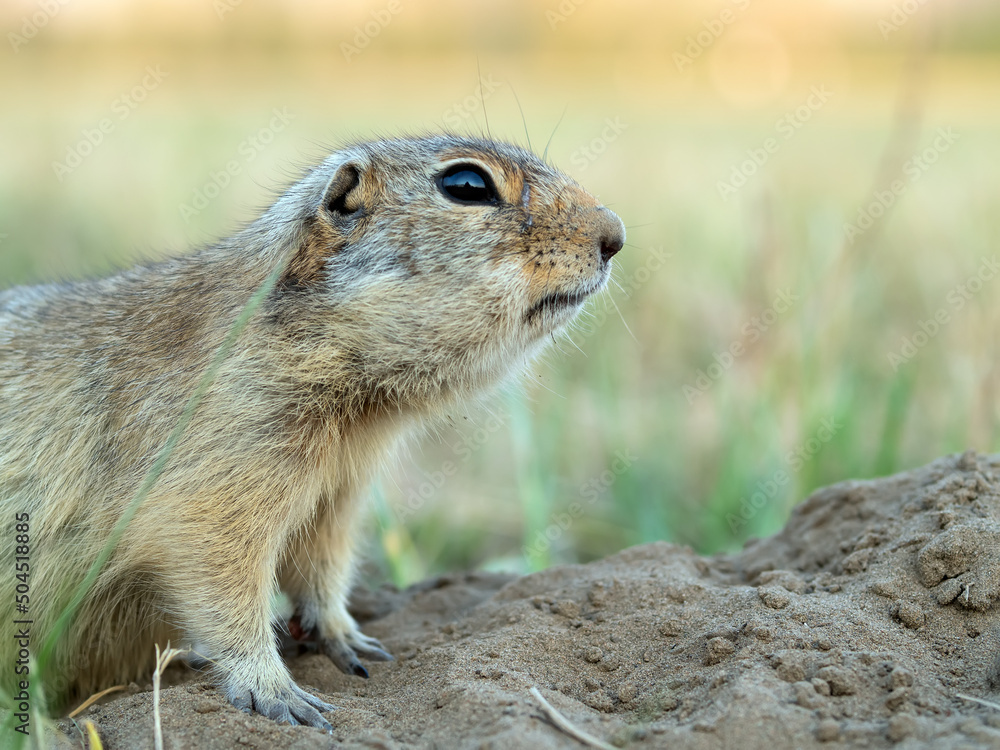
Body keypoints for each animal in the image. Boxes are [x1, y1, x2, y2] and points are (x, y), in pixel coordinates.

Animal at [0, 134, 624, 728]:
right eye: (467, 184)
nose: (615, 234)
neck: (358, 411)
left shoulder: (339, 493)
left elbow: (322, 566)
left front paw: (352, 642)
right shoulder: (216, 478)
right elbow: (221, 581)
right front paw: (278, 693)